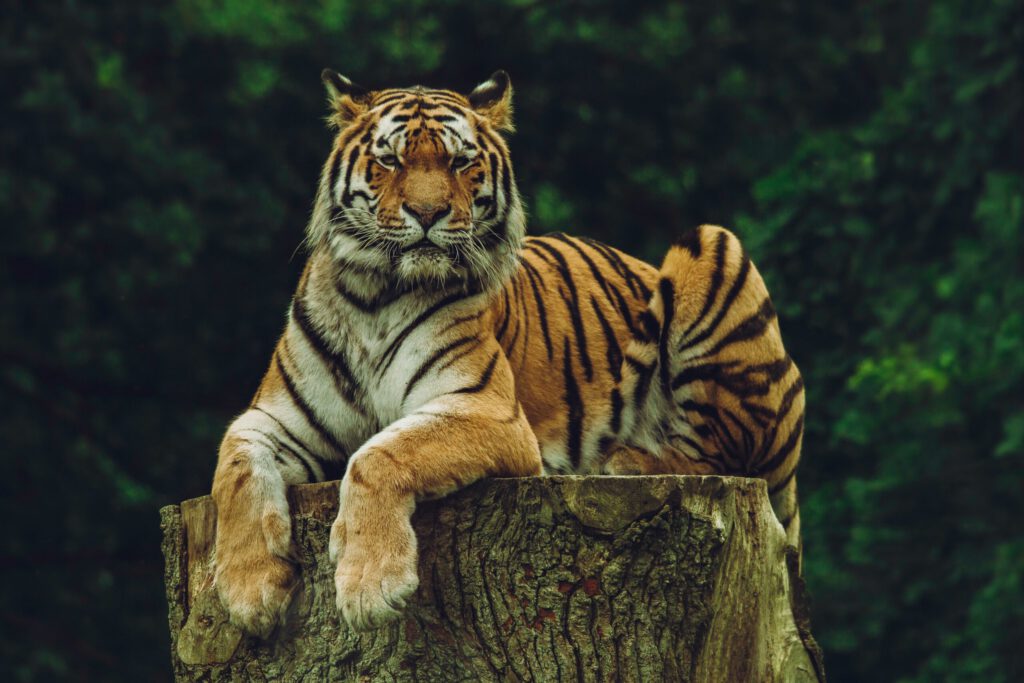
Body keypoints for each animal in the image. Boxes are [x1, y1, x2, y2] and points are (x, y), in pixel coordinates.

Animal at [211, 69, 805, 636]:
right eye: (390, 160)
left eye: (459, 161)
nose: (427, 212)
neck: (374, 297)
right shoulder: (275, 418)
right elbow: (234, 471)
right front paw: (249, 592)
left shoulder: (486, 409)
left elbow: (378, 454)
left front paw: (370, 587)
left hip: (713, 246)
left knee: (726, 454)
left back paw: (626, 459)